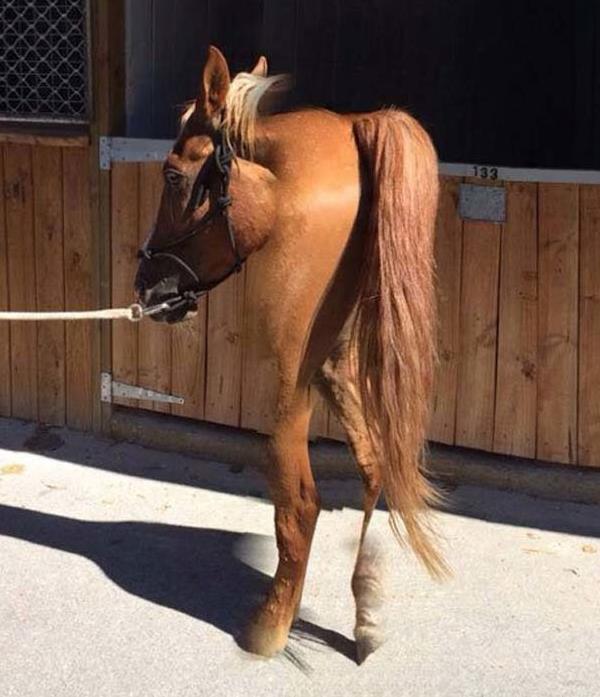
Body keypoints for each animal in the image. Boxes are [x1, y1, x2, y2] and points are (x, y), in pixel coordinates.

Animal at [134, 46, 447, 662]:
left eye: (174, 175)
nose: (148, 286)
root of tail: (354, 126)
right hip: (334, 361)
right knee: (373, 464)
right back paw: (364, 615)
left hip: (288, 379)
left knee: (300, 502)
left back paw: (270, 627)